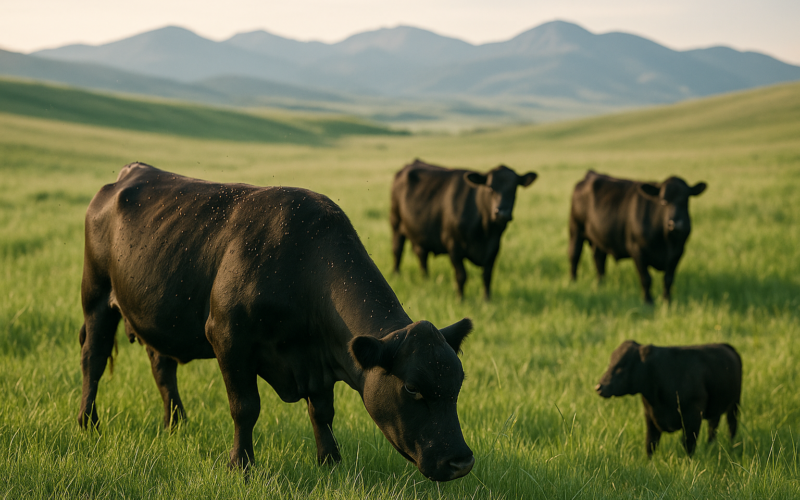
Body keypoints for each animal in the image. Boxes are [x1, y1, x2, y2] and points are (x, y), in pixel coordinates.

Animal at [78, 162, 476, 482]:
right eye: (411, 388)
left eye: (458, 384)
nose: (461, 462)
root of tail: (130, 172)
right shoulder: (227, 337)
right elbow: (245, 407)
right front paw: (241, 466)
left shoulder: (318, 360)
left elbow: (322, 411)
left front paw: (330, 462)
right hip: (96, 297)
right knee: (92, 360)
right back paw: (88, 423)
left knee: (162, 367)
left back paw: (176, 424)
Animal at [390, 159, 537, 300]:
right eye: (490, 188)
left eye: (514, 188)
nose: (502, 213)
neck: (485, 232)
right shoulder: (453, 246)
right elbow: (461, 276)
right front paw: (460, 299)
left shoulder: (494, 248)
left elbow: (487, 276)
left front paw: (487, 300)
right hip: (396, 223)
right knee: (397, 250)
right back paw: (396, 274)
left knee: (421, 254)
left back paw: (426, 279)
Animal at [568, 170, 707, 303]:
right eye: (663, 201)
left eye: (685, 200)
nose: (675, 224)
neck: (666, 241)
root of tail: (591, 174)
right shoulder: (637, 250)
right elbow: (646, 278)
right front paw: (648, 301)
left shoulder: (678, 253)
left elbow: (668, 279)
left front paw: (667, 301)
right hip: (575, 229)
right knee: (574, 255)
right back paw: (573, 282)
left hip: (599, 238)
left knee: (599, 259)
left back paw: (600, 284)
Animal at [596, 340, 741, 457]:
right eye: (610, 363)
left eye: (622, 366)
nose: (599, 387)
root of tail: (724, 345)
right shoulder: (650, 417)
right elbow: (650, 444)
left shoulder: (693, 417)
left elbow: (688, 444)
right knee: (713, 427)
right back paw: (710, 446)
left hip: (735, 404)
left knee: (732, 426)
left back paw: (732, 447)